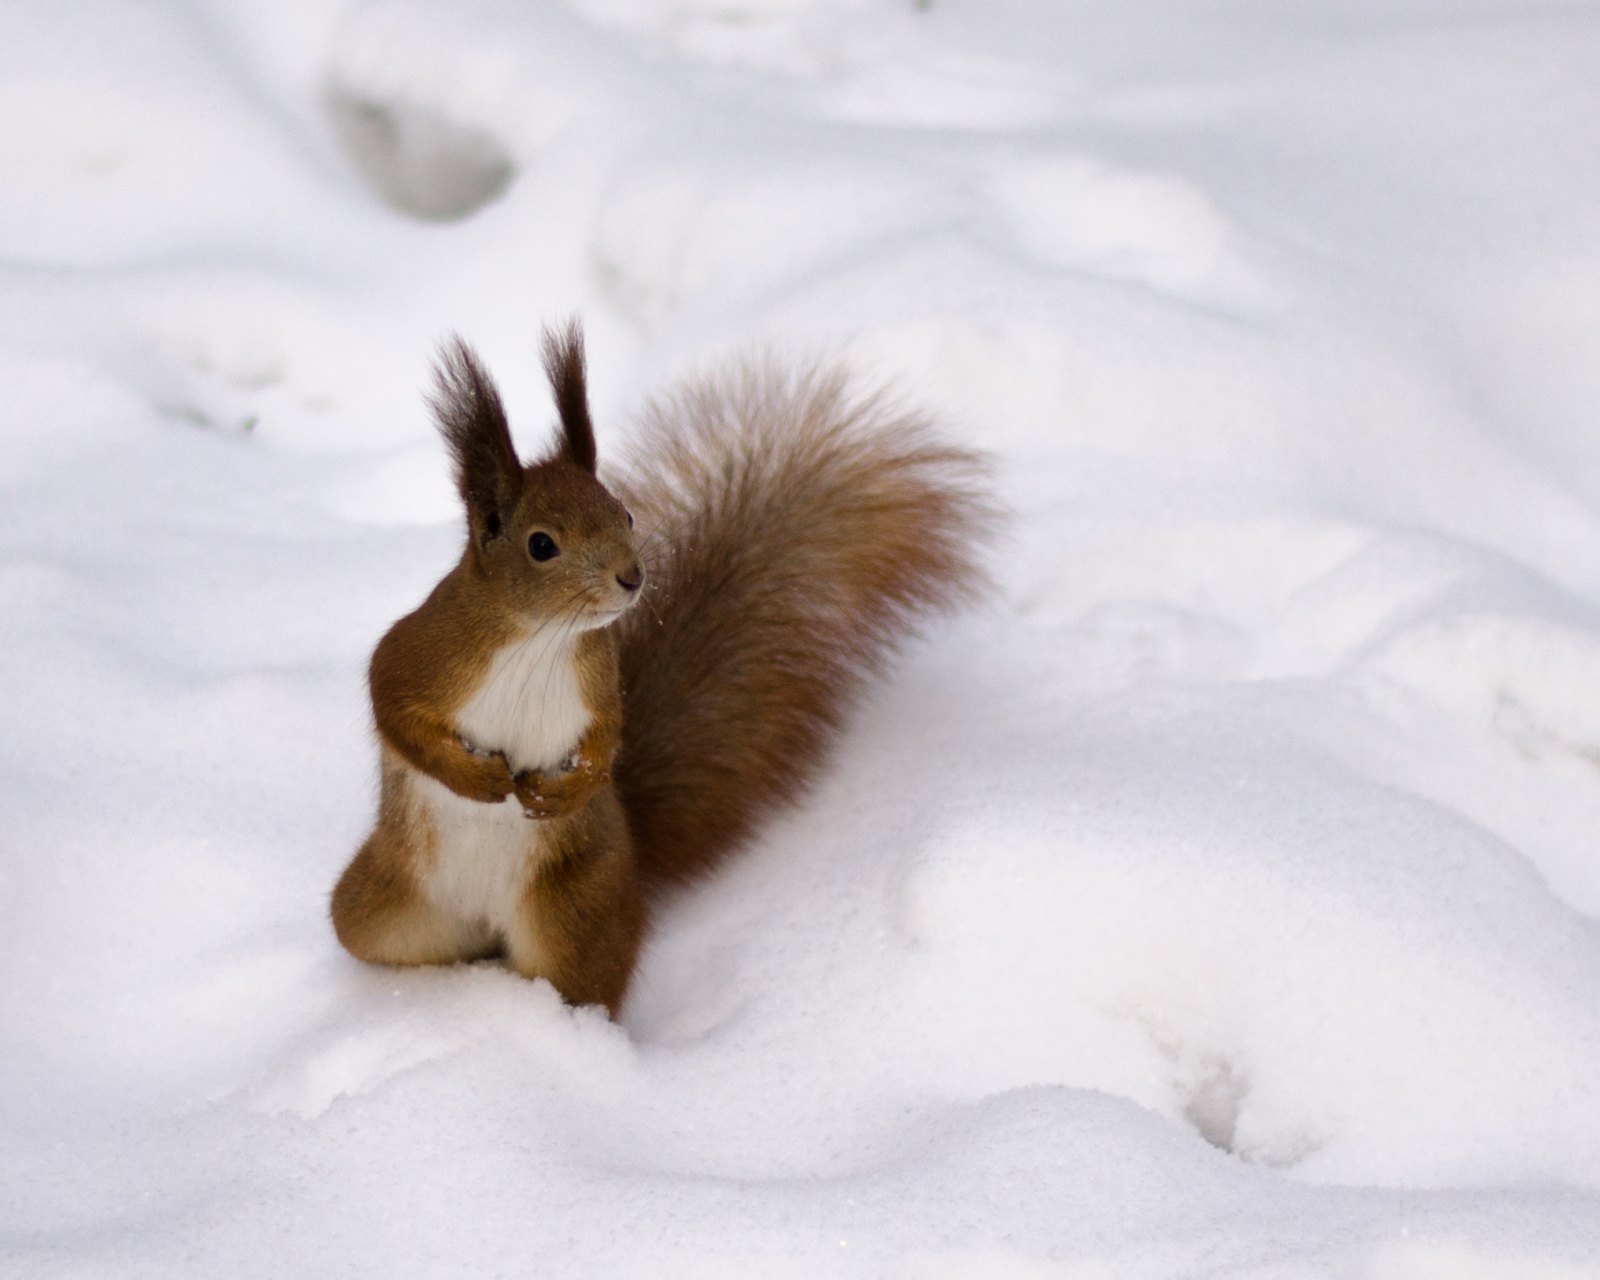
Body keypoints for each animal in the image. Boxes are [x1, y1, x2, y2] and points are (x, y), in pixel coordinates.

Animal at [331, 323, 992, 1017]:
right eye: (541, 544)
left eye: (622, 514)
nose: (632, 577)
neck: (540, 639)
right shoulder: (424, 652)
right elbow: (391, 705)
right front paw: (473, 778)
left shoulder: (598, 679)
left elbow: (607, 738)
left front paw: (566, 788)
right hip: (376, 906)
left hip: (575, 914)